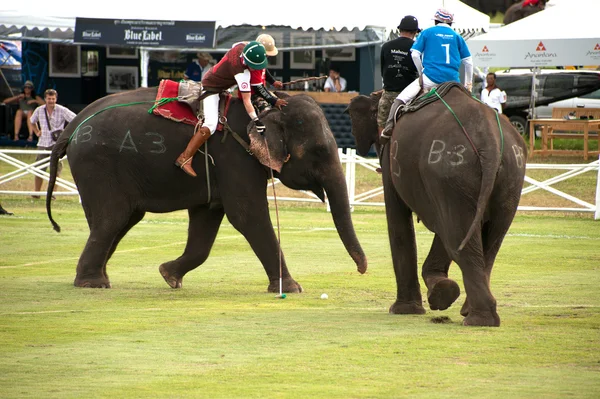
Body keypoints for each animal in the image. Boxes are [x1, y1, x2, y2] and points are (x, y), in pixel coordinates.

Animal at [45, 90, 366, 290]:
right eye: (320, 150)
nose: (362, 271)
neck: (268, 110)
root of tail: (74, 123)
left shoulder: (219, 170)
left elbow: (206, 220)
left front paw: (169, 276)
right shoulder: (234, 158)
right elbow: (247, 215)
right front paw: (293, 288)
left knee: (117, 221)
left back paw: (95, 277)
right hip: (98, 164)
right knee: (113, 218)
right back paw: (93, 283)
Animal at [346, 85, 524, 328]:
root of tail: (490, 141)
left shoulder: (392, 154)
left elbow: (398, 220)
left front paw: (404, 310)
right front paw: (440, 291)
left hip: (451, 172)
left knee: (459, 241)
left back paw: (478, 319)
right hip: (509, 177)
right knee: (487, 241)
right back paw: (470, 311)